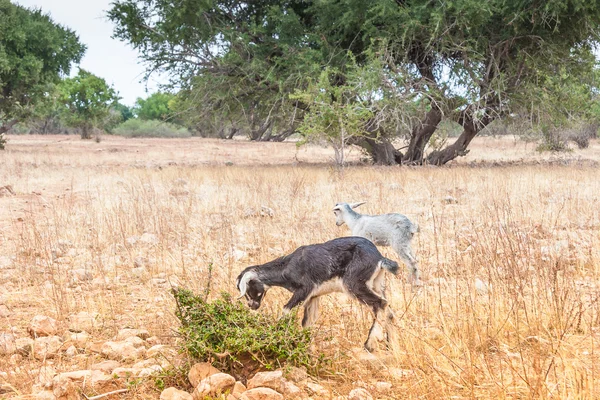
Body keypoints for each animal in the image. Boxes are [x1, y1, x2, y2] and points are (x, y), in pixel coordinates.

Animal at [237, 238, 400, 350]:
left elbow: (286, 310)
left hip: (354, 284)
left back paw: (369, 344)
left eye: (248, 288)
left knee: (380, 303)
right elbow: (307, 322)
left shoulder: (304, 290)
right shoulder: (313, 297)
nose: (252, 306)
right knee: (389, 311)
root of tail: (380, 258)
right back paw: (391, 347)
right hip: (377, 284)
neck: (288, 266)